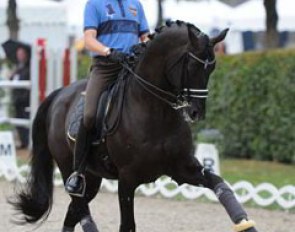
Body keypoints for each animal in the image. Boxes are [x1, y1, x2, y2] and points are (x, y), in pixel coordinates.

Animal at [10, 21, 258, 232]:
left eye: (211, 68)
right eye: (191, 65)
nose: (196, 112)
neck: (156, 113)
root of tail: (60, 94)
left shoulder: (182, 169)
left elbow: (220, 184)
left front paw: (244, 222)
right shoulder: (127, 179)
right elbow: (127, 225)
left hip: (92, 177)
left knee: (73, 212)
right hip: (69, 168)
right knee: (79, 206)